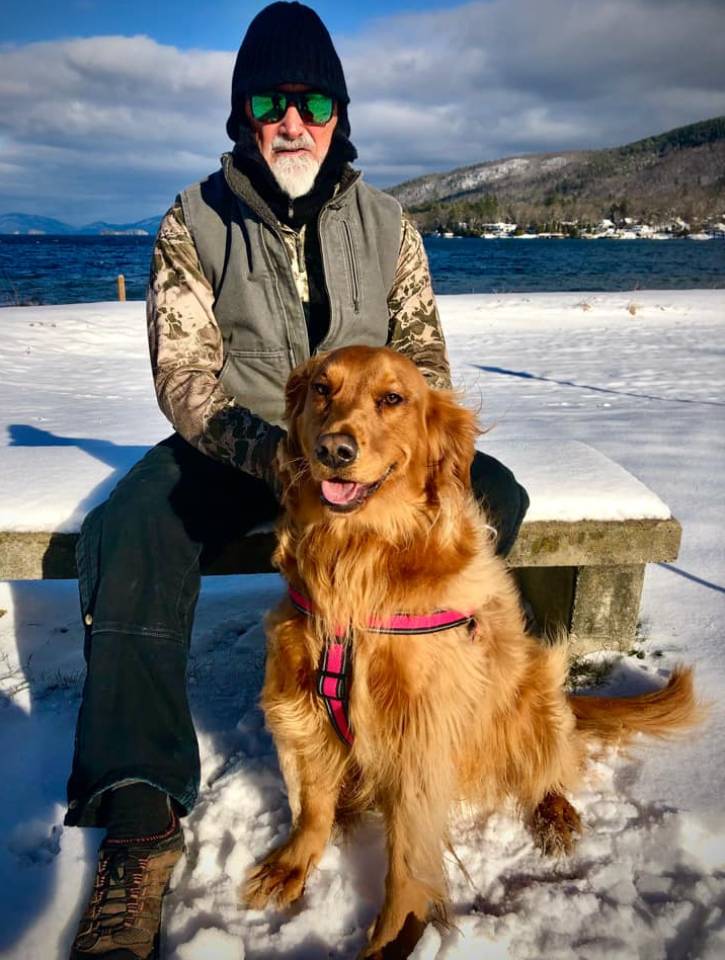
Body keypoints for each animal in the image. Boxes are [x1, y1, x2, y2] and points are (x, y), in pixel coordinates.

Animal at [242, 344, 696, 952]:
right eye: (321, 389)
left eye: (393, 398)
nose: (334, 450)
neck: (359, 556)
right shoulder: (302, 702)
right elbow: (312, 805)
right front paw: (291, 865)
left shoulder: (420, 732)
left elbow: (408, 854)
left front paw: (394, 936)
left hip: (532, 692)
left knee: (550, 765)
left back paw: (556, 816)